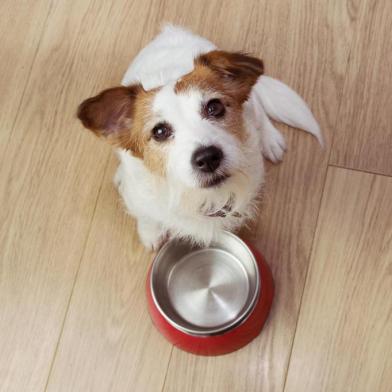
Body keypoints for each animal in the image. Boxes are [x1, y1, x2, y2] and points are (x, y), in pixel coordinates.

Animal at [76, 25, 322, 251]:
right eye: (159, 132)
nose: (208, 158)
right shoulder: (140, 199)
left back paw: (270, 140)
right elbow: (146, 216)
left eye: (214, 107)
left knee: (259, 109)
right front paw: (150, 234)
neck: (196, 196)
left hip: (251, 105)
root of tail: (170, 30)